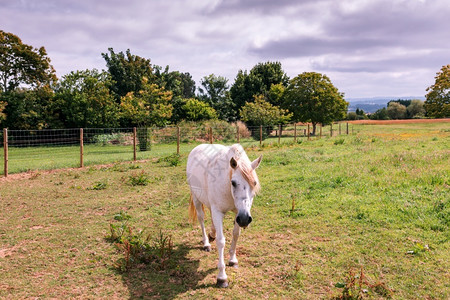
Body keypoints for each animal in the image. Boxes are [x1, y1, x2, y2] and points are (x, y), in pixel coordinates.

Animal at [187, 144, 264, 288]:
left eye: (255, 183)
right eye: (233, 182)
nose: (245, 219)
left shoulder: (238, 212)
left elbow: (236, 234)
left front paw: (233, 260)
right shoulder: (220, 211)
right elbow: (221, 241)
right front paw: (222, 277)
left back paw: (212, 234)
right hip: (196, 198)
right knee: (201, 219)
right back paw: (206, 243)